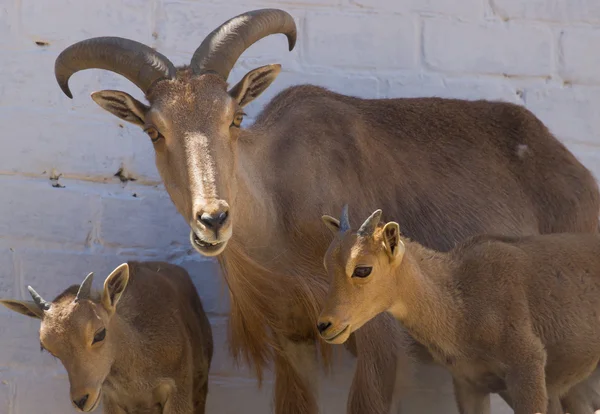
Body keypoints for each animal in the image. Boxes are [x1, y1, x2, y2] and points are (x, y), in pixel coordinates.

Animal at [318, 206, 600, 414]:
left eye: (362, 269)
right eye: (327, 264)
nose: (325, 325)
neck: (462, 306)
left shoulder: (528, 365)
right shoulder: (469, 383)